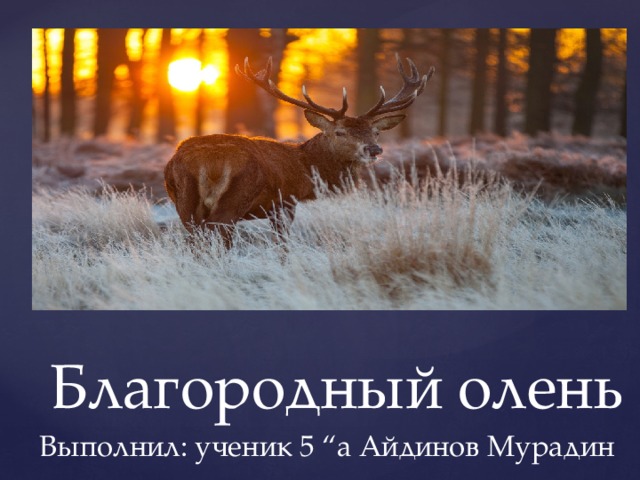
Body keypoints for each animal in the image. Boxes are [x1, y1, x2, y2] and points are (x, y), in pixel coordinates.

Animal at [164, 54, 435, 247]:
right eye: (340, 132)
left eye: (375, 132)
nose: (374, 149)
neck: (304, 168)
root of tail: (206, 162)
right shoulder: (285, 202)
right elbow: (283, 245)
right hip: (236, 196)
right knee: (216, 232)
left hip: (183, 198)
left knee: (194, 237)